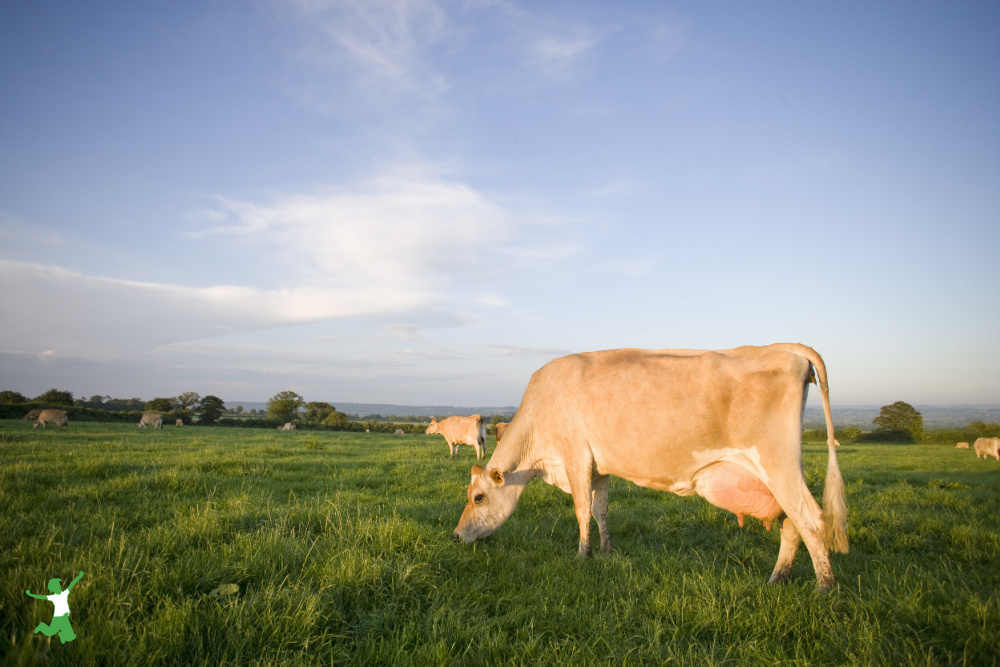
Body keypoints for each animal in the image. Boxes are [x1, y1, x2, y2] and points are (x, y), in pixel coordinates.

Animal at [456, 344, 852, 588]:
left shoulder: (575, 457)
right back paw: (778, 578)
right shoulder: (599, 467)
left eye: (478, 497)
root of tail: (783, 347)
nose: (457, 535)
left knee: (810, 518)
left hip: (777, 463)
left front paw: (582, 556)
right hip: (776, 473)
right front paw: (606, 550)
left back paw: (825, 588)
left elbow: (582, 510)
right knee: (791, 523)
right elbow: (601, 511)